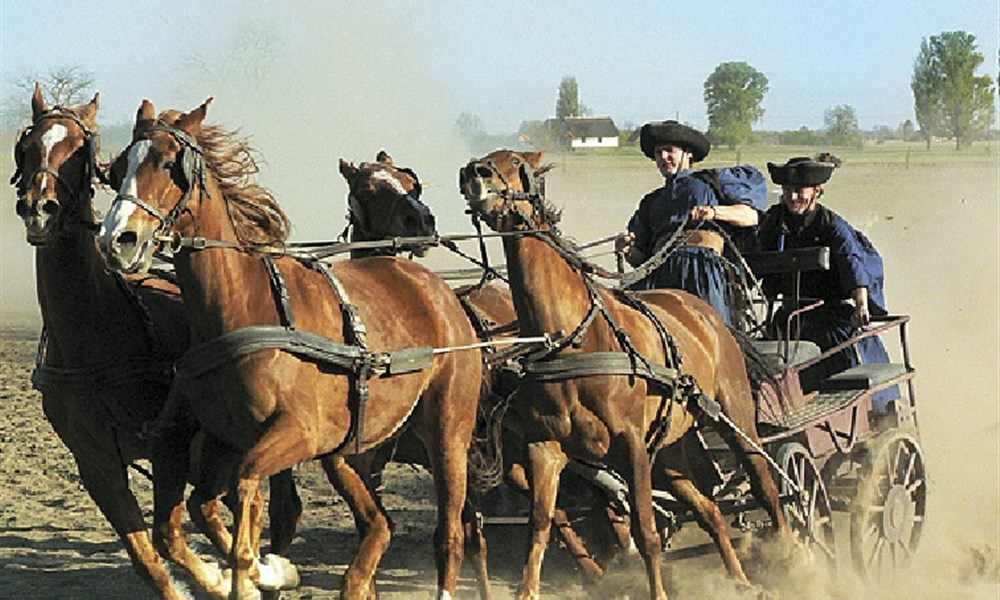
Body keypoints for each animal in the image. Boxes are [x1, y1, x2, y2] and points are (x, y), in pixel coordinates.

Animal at [9, 84, 254, 600]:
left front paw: (221, 579)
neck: (92, 337)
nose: (40, 208)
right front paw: (212, 579)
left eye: (80, 152)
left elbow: (169, 535)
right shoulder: (95, 462)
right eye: (28, 146)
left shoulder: (169, 445)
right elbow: (147, 557)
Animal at [98, 99, 484, 600]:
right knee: (378, 524)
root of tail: (436, 289)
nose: (116, 240)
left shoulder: (297, 434)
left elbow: (245, 492)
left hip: (448, 430)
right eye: (117, 169)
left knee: (450, 535)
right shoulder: (225, 440)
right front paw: (249, 572)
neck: (243, 305)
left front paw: (262, 569)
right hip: (349, 451)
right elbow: (204, 506)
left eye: (168, 163)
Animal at [460, 150, 788, 600]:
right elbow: (541, 527)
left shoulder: (631, 445)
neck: (575, 339)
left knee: (766, 488)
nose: (472, 173)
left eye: (513, 161)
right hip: (669, 450)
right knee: (710, 510)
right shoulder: (545, 447)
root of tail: (707, 314)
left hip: (734, 419)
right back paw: (738, 580)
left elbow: (646, 532)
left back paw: (798, 561)